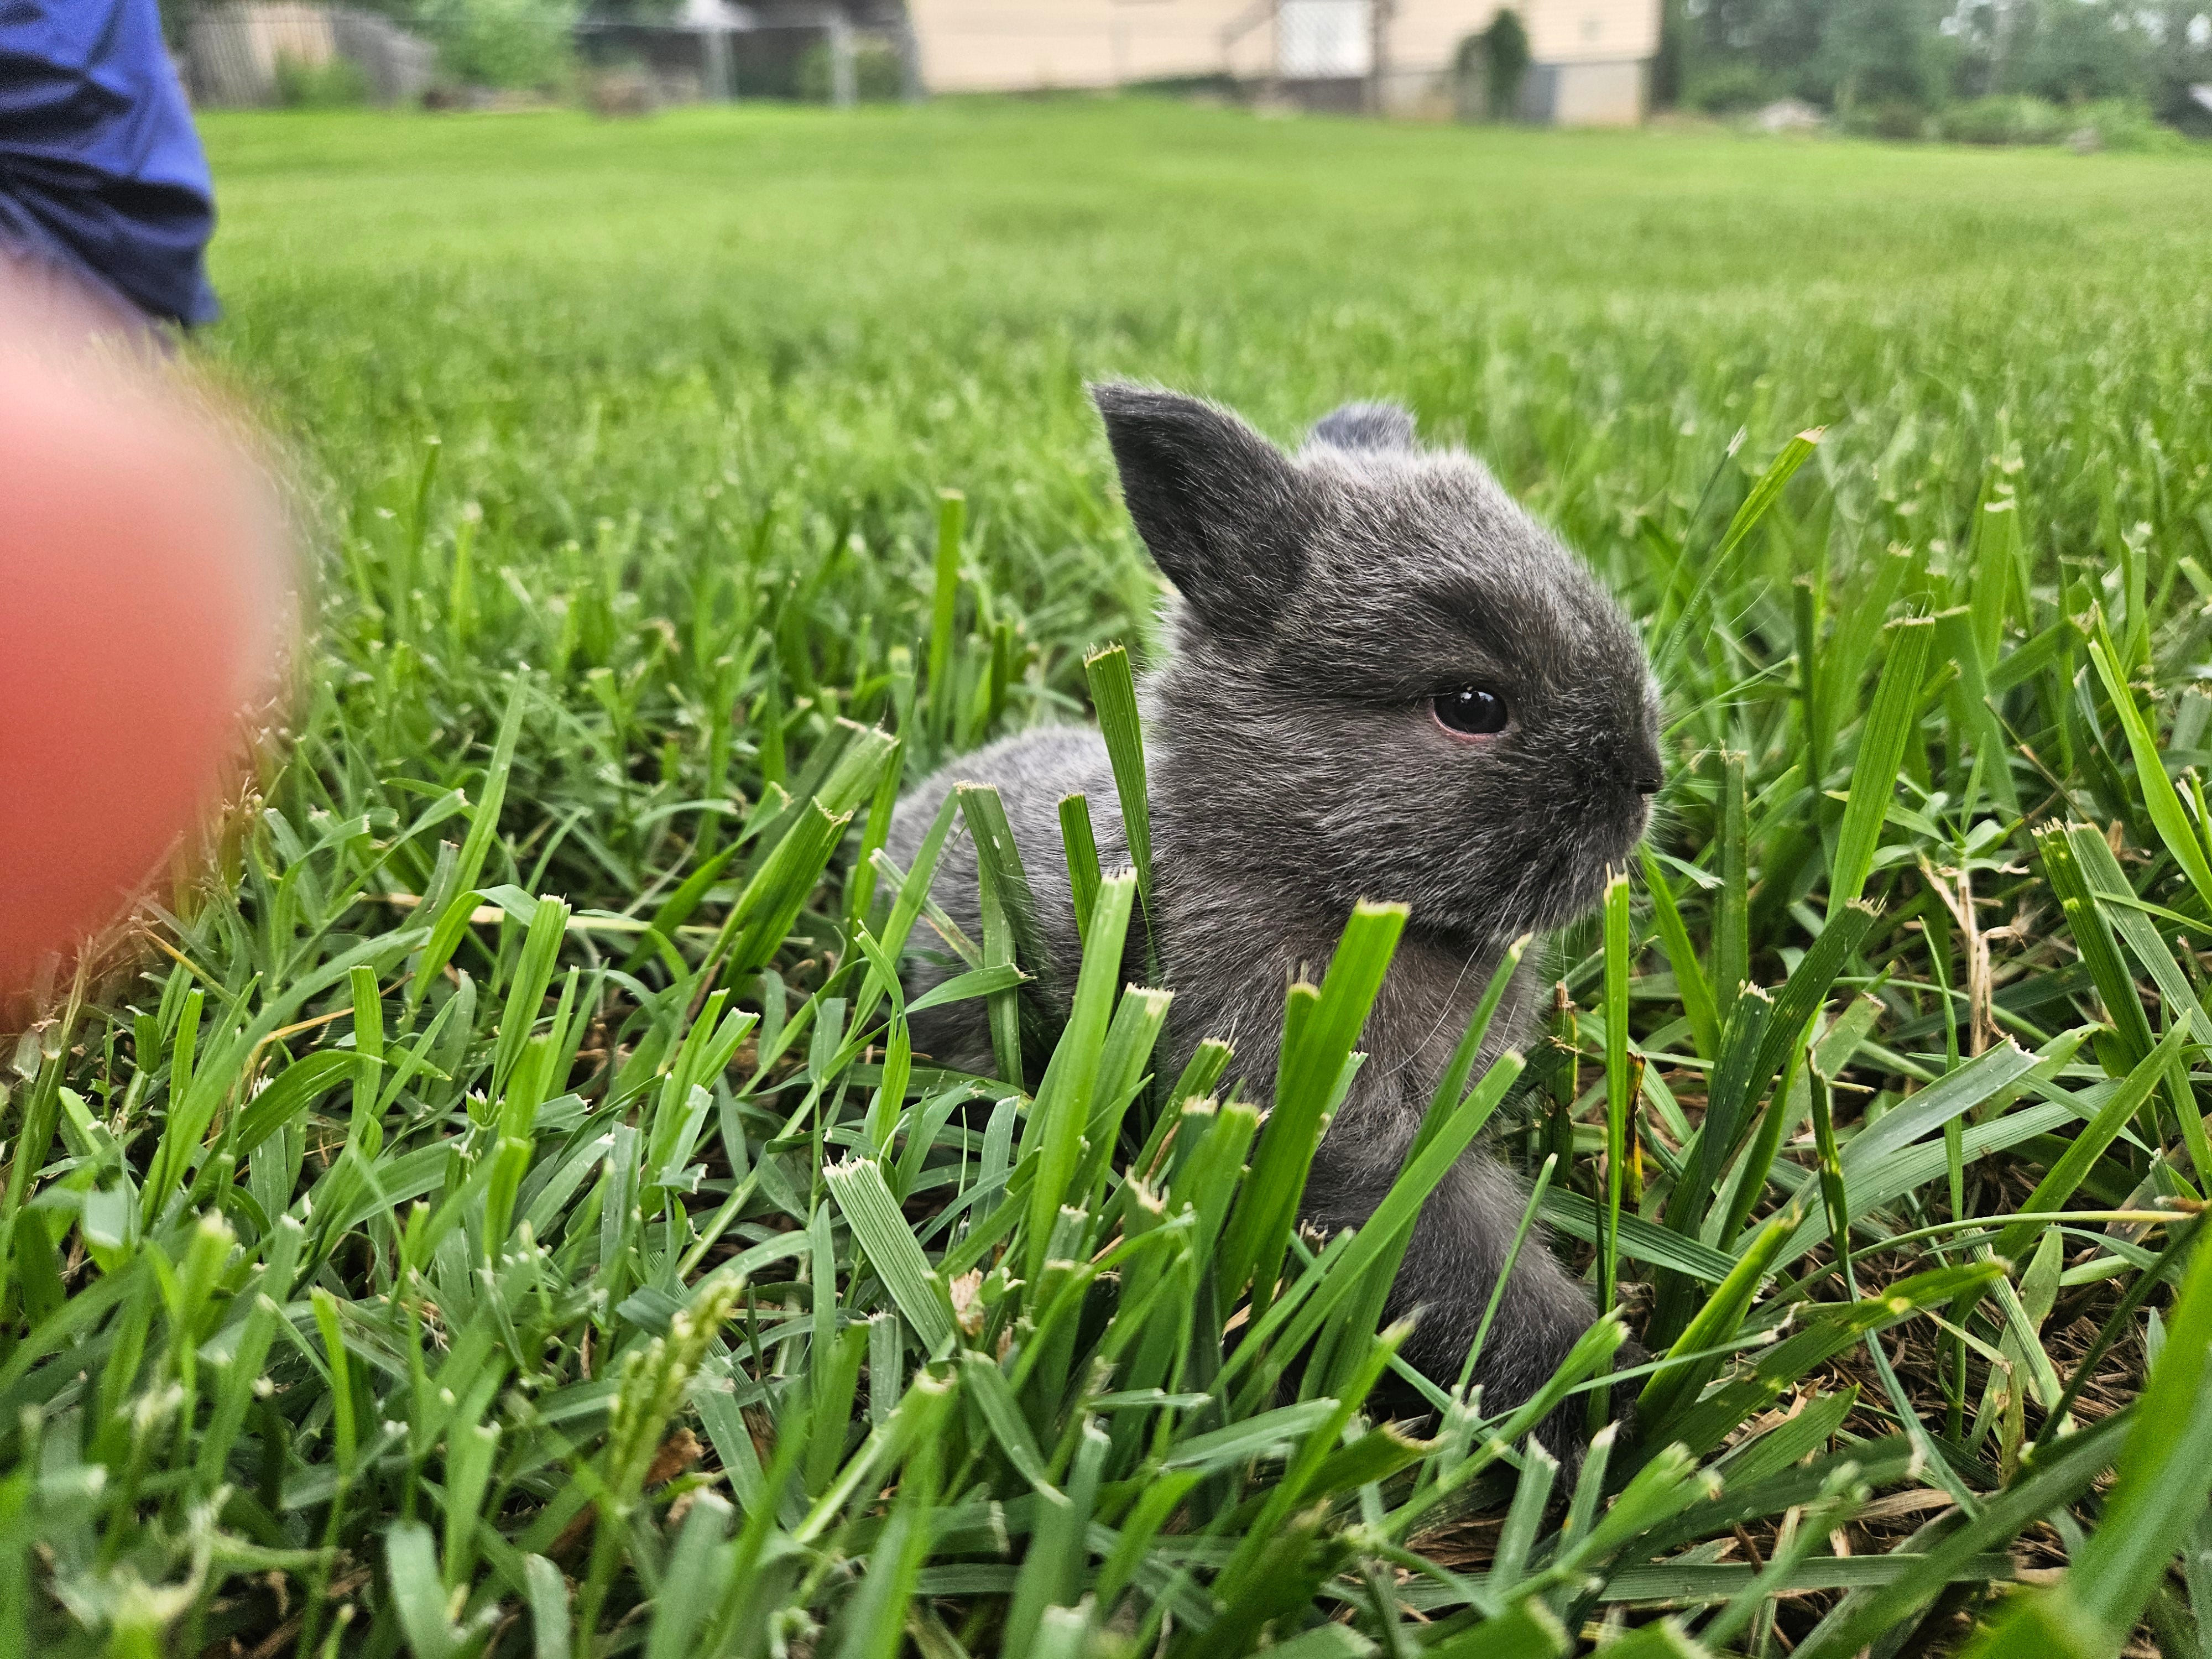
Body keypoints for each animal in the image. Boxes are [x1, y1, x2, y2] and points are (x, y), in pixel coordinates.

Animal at [885, 384, 1662, 1456]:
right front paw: (1590, 1398)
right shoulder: (1350, 1144)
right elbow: (1460, 1267)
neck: (1312, 872)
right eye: (1471, 704)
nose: (1647, 779)